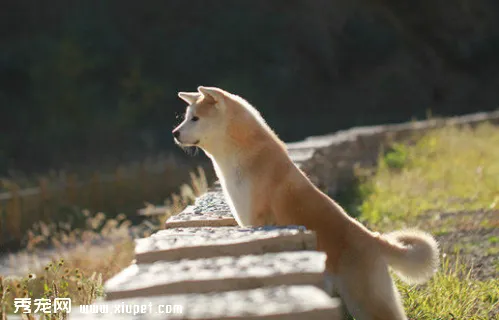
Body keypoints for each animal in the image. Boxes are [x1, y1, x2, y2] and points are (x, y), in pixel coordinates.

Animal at [174, 86, 440, 318]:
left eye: (195, 118)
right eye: (186, 117)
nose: (175, 133)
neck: (241, 155)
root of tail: (374, 239)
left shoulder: (255, 219)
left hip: (366, 301)